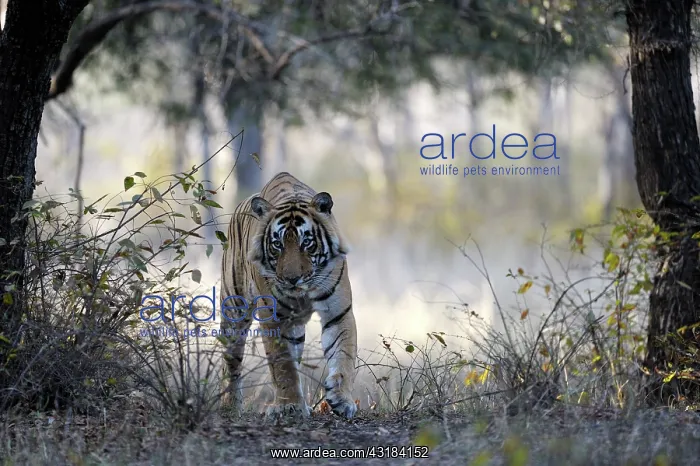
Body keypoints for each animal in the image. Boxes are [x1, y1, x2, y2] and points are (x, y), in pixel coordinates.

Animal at [219, 171, 358, 419]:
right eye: (277, 245)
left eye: (307, 242)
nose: (292, 279)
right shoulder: (273, 318)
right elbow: (283, 365)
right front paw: (289, 406)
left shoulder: (339, 312)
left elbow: (344, 355)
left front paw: (342, 399)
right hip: (234, 311)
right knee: (232, 360)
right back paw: (231, 405)